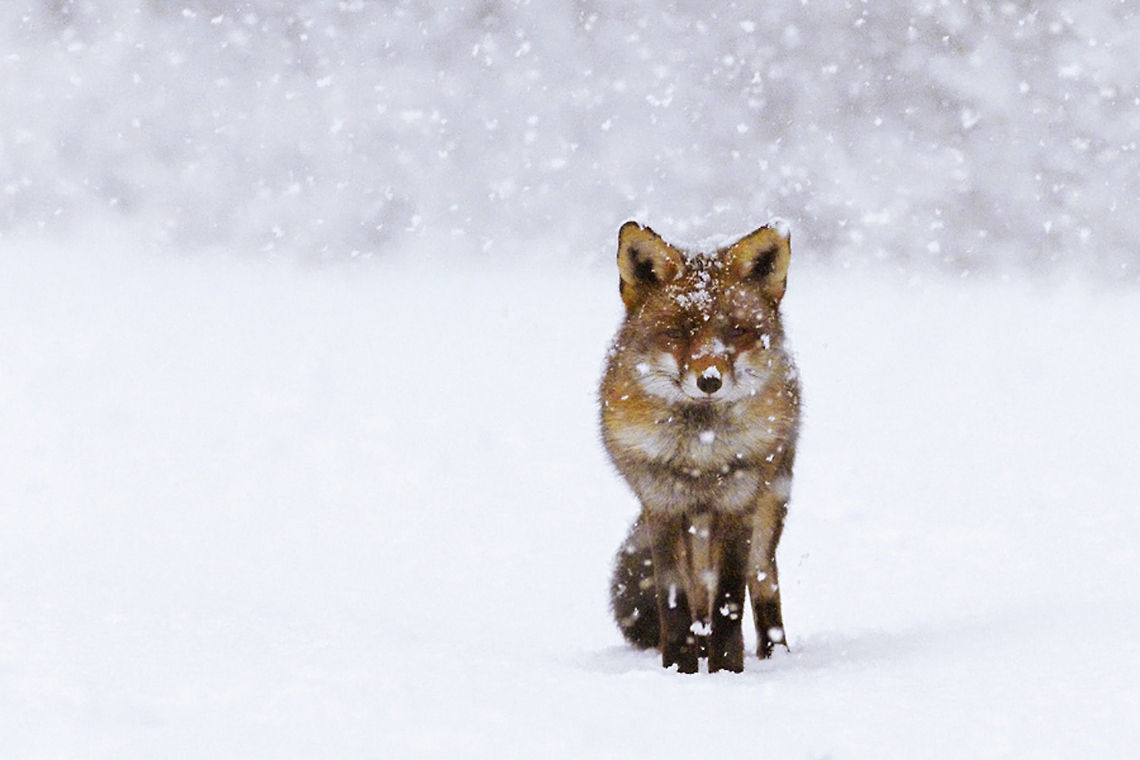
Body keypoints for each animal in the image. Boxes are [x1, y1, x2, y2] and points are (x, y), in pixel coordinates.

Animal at [600, 221, 801, 673]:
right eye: (678, 332)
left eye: (737, 331)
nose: (709, 380)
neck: (699, 453)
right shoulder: (662, 503)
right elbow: (675, 598)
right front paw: (680, 667)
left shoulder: (738, 502)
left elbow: (729, 597)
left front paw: (727, 669)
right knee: (696, 593)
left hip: (770, 507)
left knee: (762, 582)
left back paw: (774, 654)